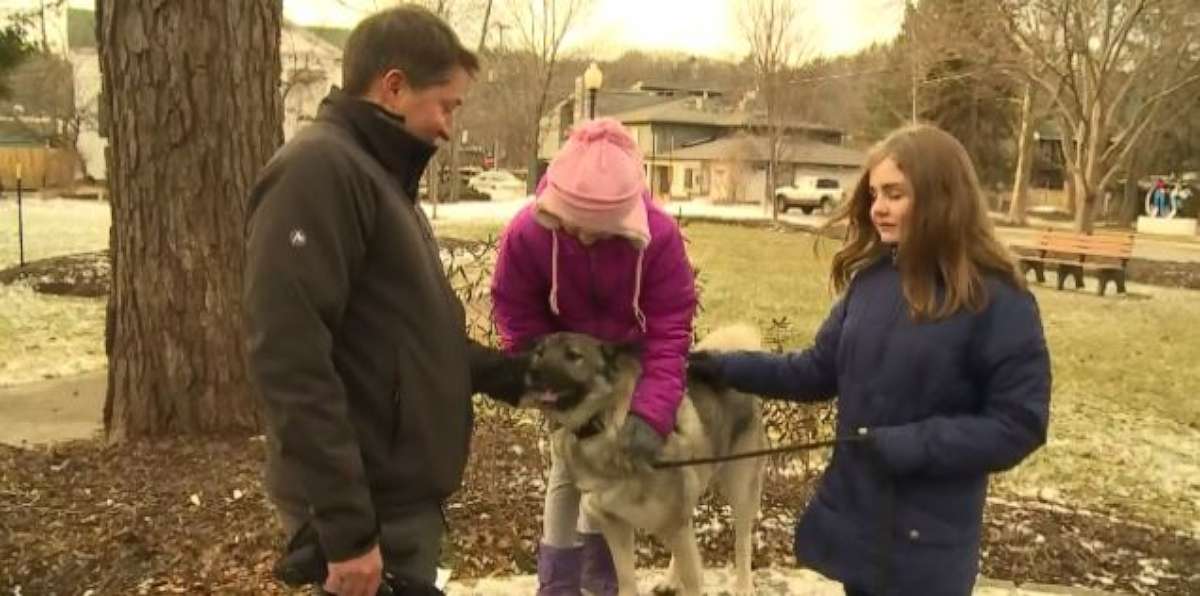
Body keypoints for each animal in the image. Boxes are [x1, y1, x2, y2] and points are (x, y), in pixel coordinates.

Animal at [525, 326, 768, 594]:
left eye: (573, 355)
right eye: (539, 352)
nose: (532, 373)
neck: (603, 423)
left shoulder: (673, 522)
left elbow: (693, 577)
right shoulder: (616, 525)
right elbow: (626, 578)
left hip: (740, 489)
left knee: (742, 541)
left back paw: (743, 585)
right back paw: (670, 579)